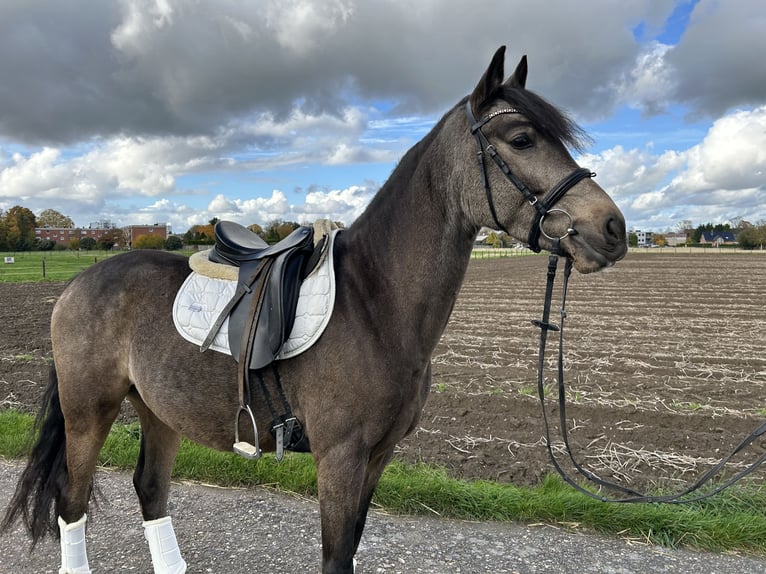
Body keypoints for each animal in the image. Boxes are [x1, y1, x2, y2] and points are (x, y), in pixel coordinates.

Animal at [2, 46, 627, 573]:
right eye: (521, 139)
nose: (612, 228)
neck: (375, 303)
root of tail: (79, 283)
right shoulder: (340, 458)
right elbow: (334, 556)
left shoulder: (376, 458)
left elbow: (348, 550)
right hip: (89, 411)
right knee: (72, 501)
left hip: (160, 409)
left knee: (150, 490)